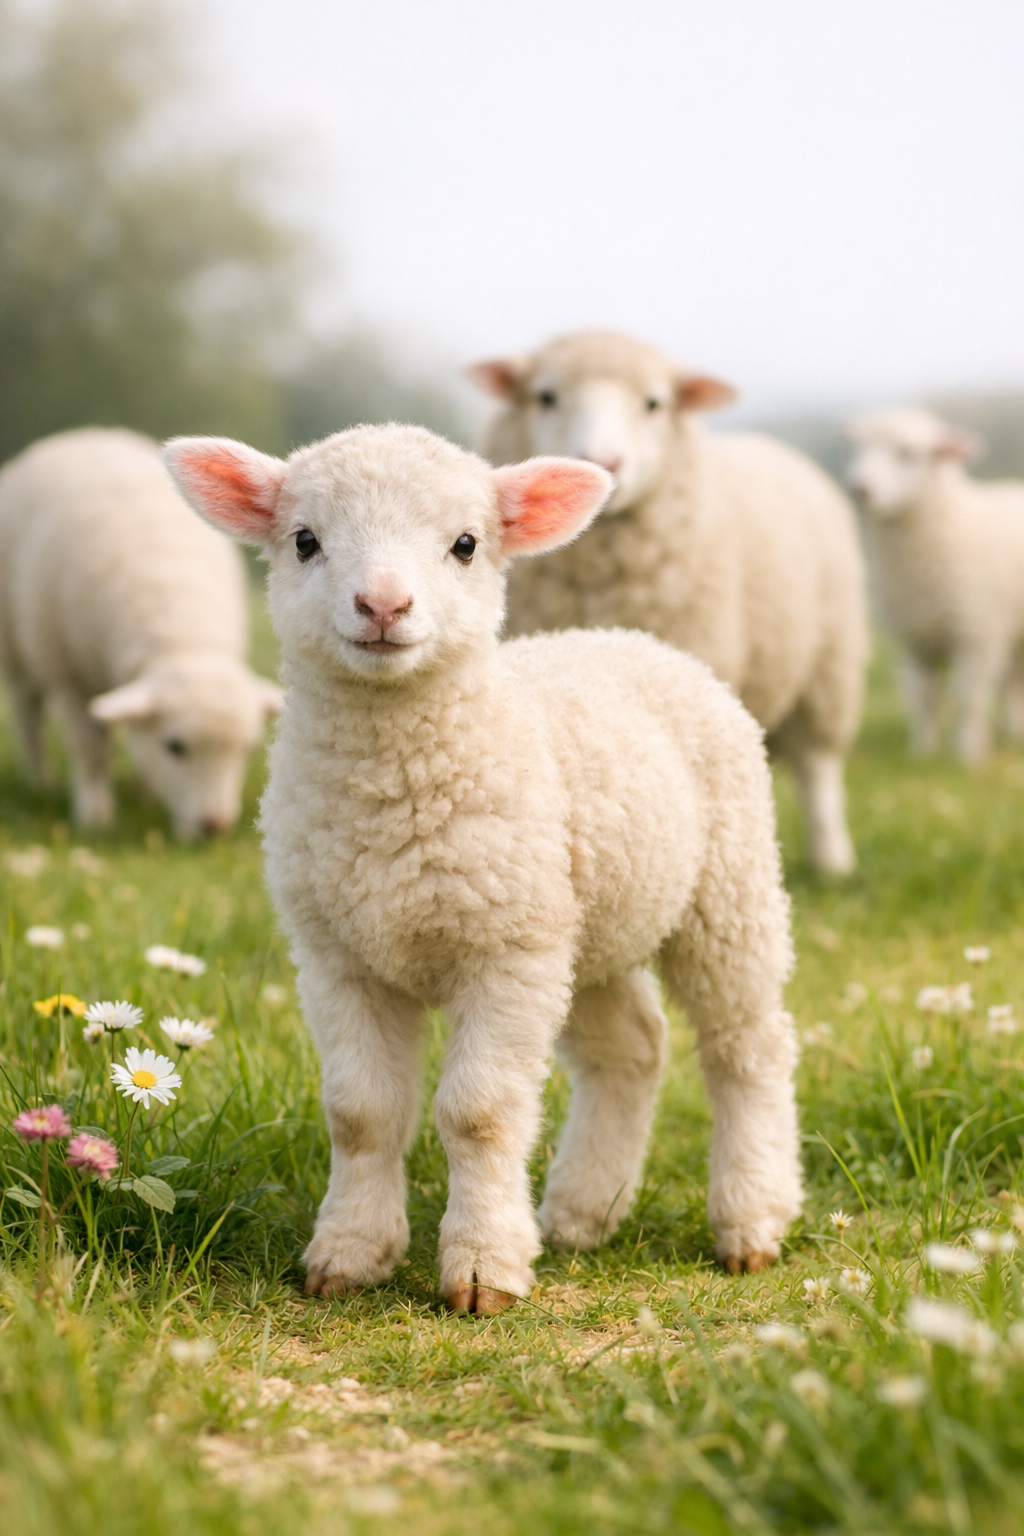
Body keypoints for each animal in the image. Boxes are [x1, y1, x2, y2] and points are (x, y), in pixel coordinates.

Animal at [0, 428, 283, 837]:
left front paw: (147, 795)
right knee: (28, 716)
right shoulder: (70, 676)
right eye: (175, 746)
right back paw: (40, 780)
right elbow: (90, 748)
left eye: (246, 748)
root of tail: (88, 433)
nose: (214, 827)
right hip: (18, 651)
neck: (180, 637)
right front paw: (95, 816)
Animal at [164, 421, 803, 1313]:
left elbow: (481, 1113)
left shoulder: (506, 953)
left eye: (466, 545)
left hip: (725, 889)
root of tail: (635, 641)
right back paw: (580, 1212)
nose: (383, 606)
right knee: (632, 1048)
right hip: (582, 925)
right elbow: (359, 1112)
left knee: (747, 1046)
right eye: (304, 541)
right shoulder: (337, 956)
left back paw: (752, 1218)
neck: (393, 795)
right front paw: (349, 1253)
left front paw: (481, 1267)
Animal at [469, 330, 869, 876]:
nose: (605, 462)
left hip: (828, 666)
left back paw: (832, 860)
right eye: (546, 397)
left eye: (654, 403)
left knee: (817, 769)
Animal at [846, 406, 1024, 763]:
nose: (860, 489)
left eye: (909, 453)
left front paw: (969, 754)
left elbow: (968, 698)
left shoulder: (976, 635)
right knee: (1013, 679)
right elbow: (924, 697)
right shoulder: (916, 638)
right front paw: (924, 752)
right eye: (857, 448)